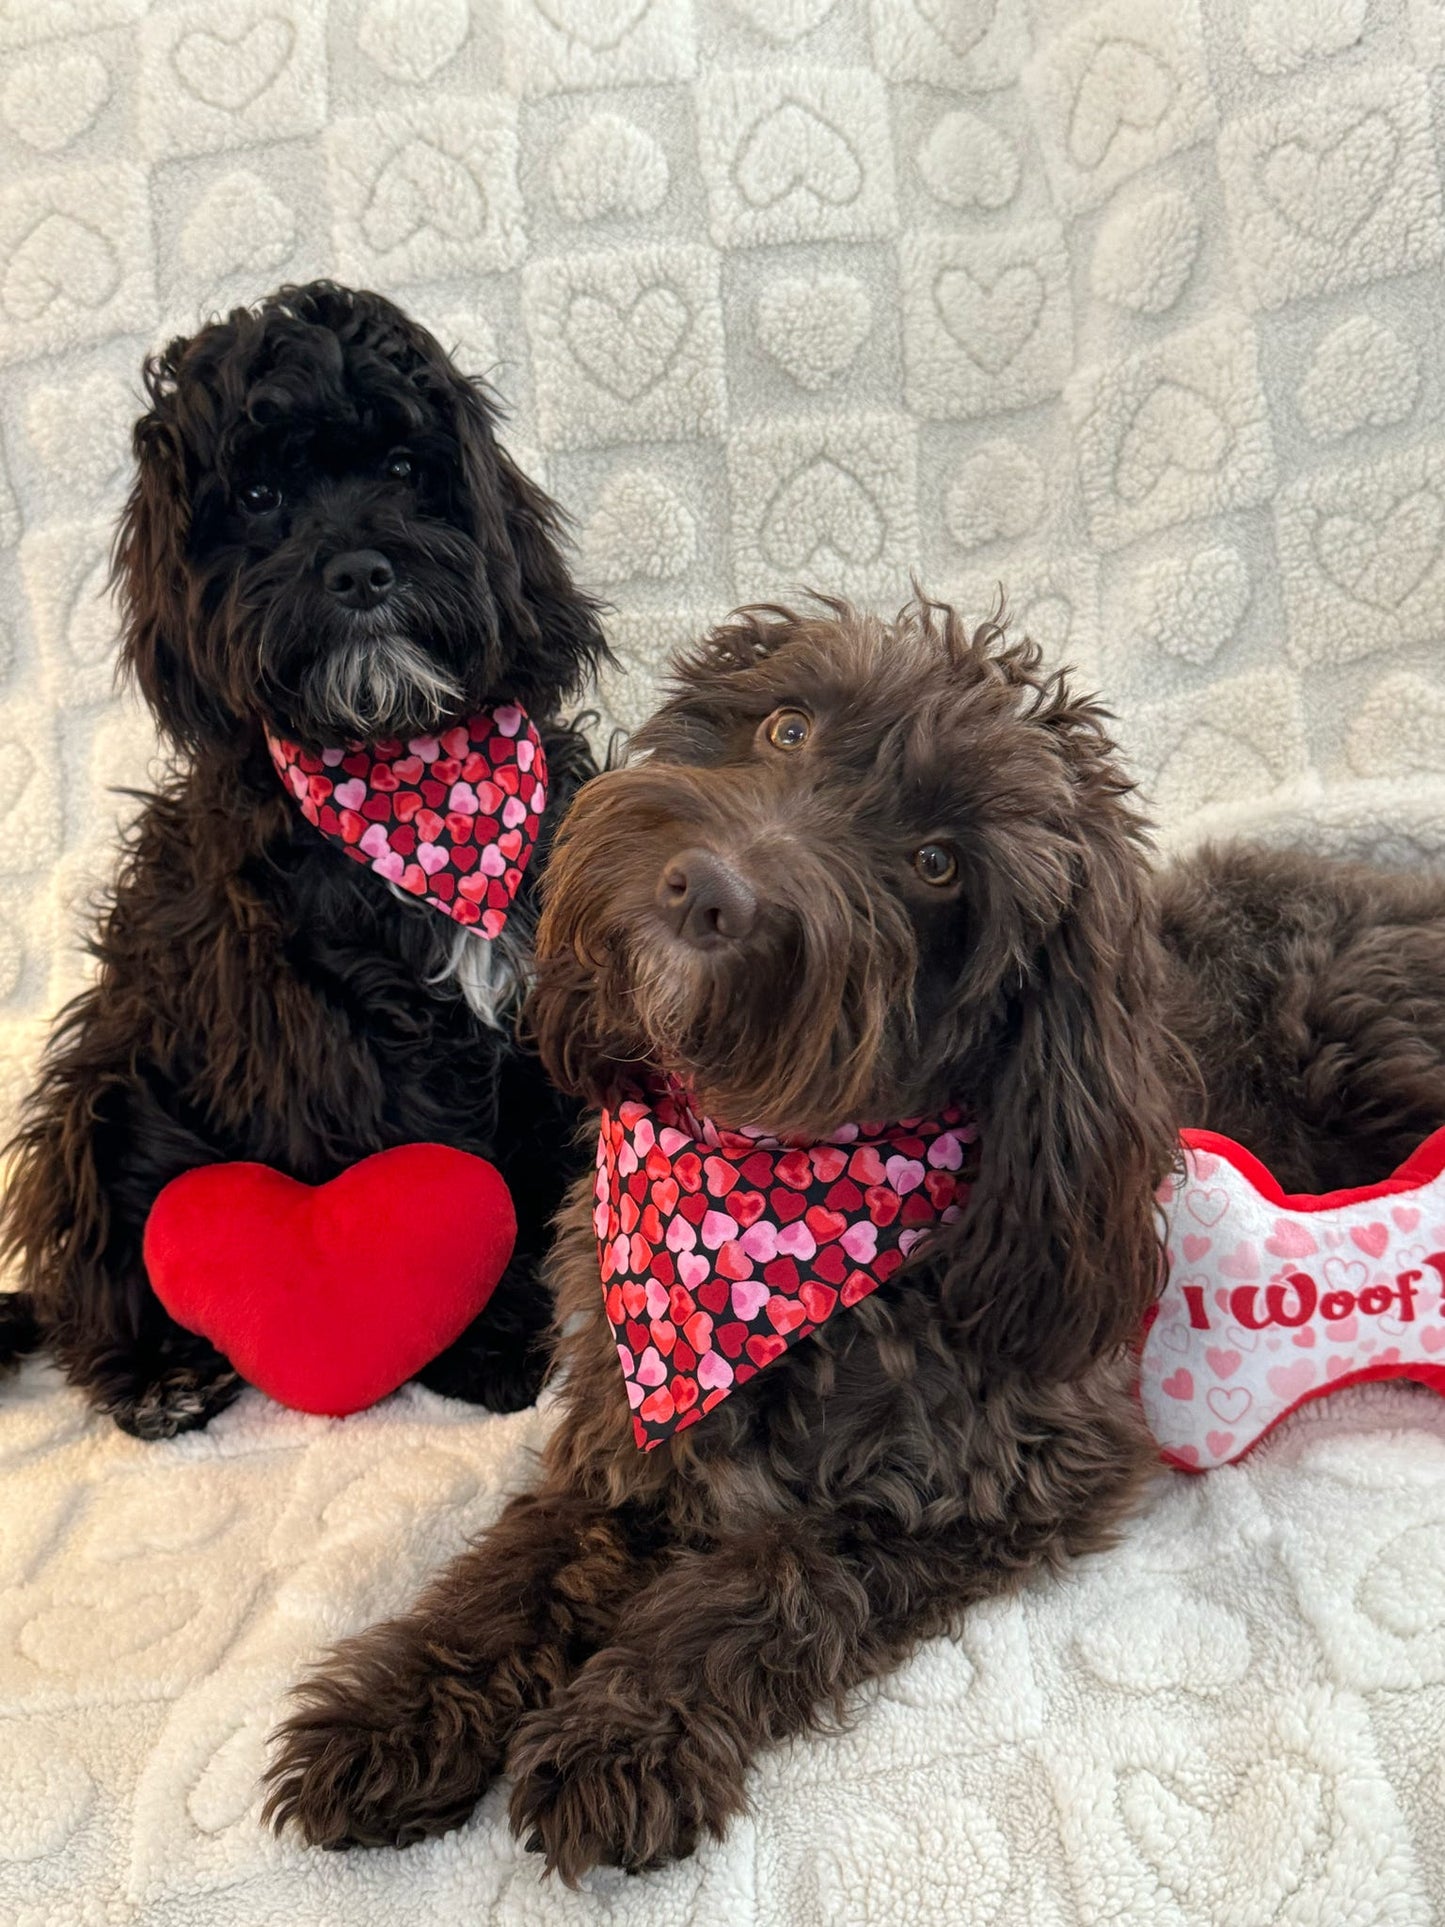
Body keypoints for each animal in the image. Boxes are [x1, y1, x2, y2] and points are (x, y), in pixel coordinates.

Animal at [0, 281, 604, 1433]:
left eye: (406, 469)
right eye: (260, 494)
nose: (361, 570)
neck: (407, 770)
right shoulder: (343, 1047)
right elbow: (452, 1181)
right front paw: (490, 1345)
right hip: (111, 1098)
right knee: (90, 1274)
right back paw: (159, 1373)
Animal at [260, 597, 1445, 1880]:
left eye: (936, 863)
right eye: (786, 725)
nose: (705, 890)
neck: (760, 1193)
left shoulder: (1004, 1479)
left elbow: (773, 1577)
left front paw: (624, 1731)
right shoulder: (626, 1433)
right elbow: (517, 1568)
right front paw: (396, 1710)